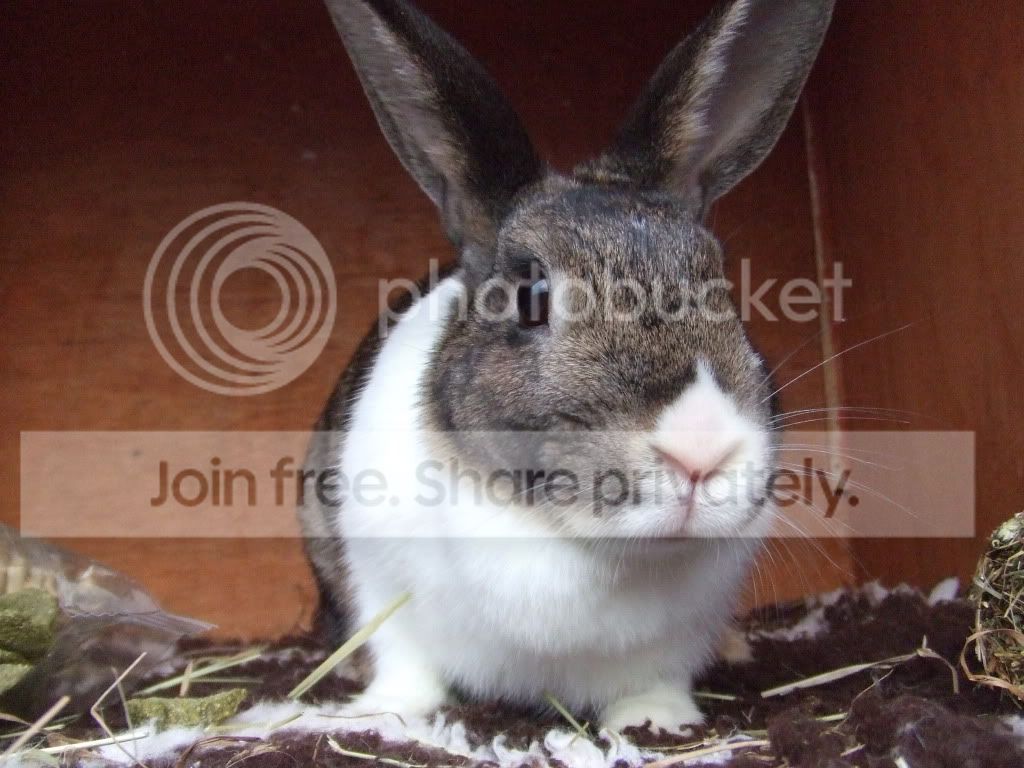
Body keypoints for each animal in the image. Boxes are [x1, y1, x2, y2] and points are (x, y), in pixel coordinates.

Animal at [300, 0, 834, 733]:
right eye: (531, 295)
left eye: (725, 288)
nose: (699, 453)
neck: (578, 539)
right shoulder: (380, 580)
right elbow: (404, 660)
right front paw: (384, 713)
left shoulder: (678, 634)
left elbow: (655, 678)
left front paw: (656, 720)